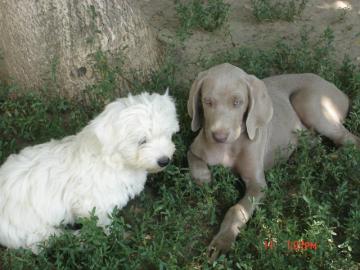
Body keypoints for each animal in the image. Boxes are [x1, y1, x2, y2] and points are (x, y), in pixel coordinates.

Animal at [0, 90, 179, 251]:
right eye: (142, 141)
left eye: (166, 134)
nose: (164, 160)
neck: (114, 159)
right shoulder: (93, 205)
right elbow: (103, 222)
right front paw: (114, 234)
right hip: (31, 228)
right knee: (45, 241)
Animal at [188, 62, 360, 260]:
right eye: (207, 101)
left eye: (237, 102)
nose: (219, 137)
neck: (228, 148)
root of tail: (339, 91)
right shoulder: (195, 147)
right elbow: (192, 158)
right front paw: (204, 179)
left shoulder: (257, 185)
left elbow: (237, 210)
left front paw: (222, 241)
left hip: (310, 102)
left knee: (350, 140)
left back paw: (328, 161)